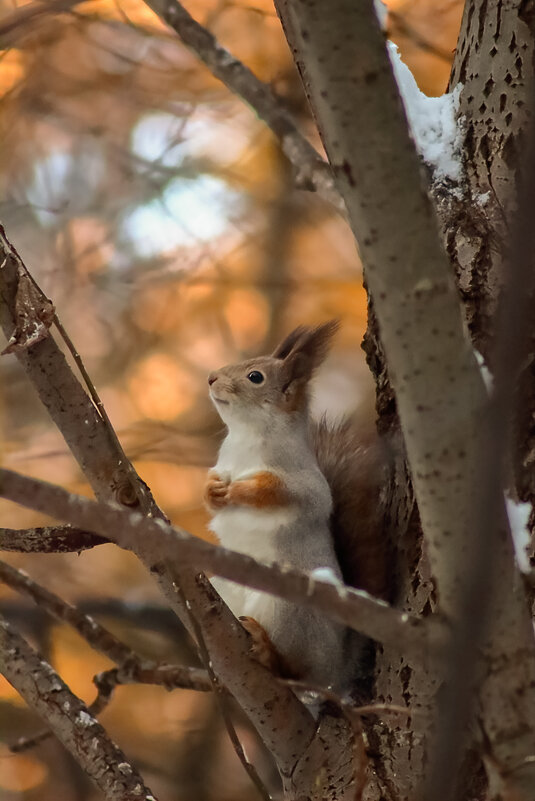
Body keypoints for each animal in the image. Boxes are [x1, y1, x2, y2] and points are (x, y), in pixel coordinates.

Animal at [203, 322, 388, 692]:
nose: (212, 377)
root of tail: (335, 671)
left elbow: (285, 493)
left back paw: (267, 650)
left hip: (288, 607)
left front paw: (242, 489)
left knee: (295, 671)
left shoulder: (305, 479)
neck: (246, 436)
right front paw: (213, 489)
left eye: (255, 377)